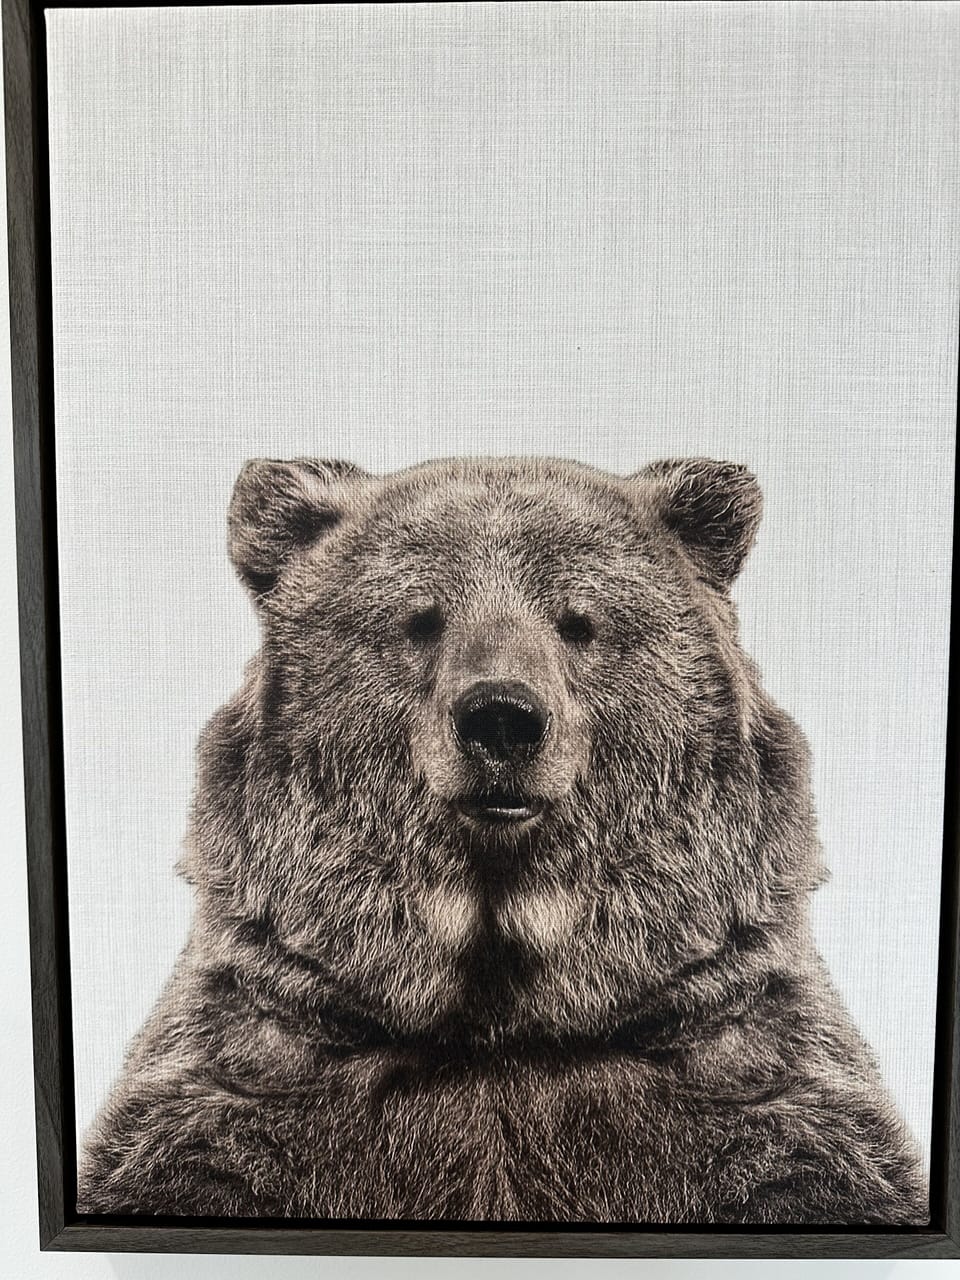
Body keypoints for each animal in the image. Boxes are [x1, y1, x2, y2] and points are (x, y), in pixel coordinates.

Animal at [76, 454, 927, 1224]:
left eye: (578, 621)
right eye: (421, 619)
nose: (501, 717)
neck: (499, 1012)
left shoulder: (741, 1063)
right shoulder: (256, 1061)